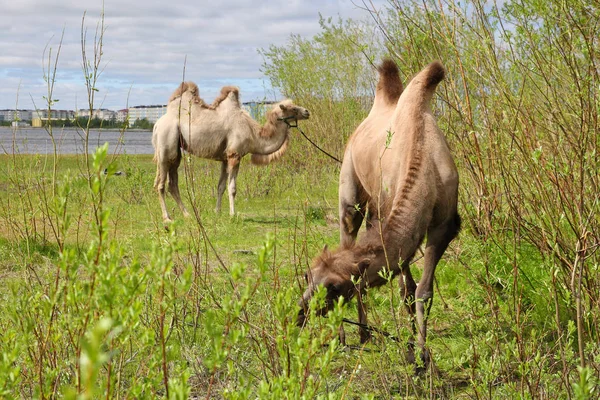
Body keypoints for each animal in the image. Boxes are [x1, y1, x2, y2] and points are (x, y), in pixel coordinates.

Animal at [152, 82, 310, 222]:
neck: (253, 134)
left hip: (175, 153)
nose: (307, 111)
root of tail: (157, 124)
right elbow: (232, 188)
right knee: (160, 184)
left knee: (173, 184)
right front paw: (233, 215)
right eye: (293, 109)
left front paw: (217, 212)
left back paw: (187, 215)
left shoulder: (225, 158)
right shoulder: (235, 155)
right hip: (166, 144)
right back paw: (167, 218)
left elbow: (220, 186)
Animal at [296, 58, 460, 372]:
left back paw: (363, 333)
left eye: (334, 287)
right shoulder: (389, 206)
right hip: (350, 187)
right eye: (308, 275)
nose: (301, 312)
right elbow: (406, 287)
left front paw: (420, 355)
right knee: (348, 230)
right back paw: (350, 335)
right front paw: (414, 351)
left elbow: (420, 291)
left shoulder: (443, 225)